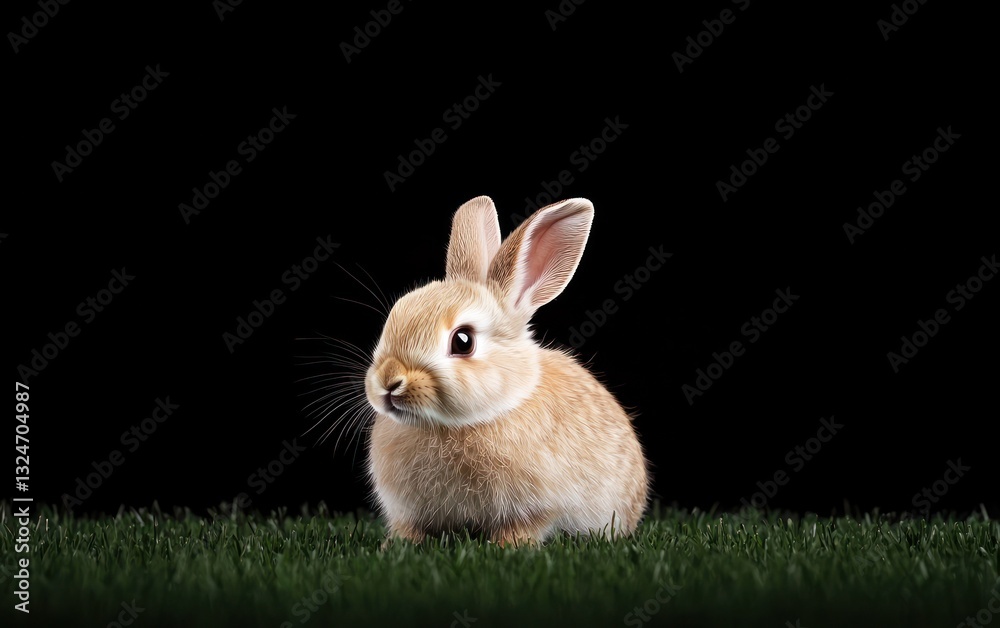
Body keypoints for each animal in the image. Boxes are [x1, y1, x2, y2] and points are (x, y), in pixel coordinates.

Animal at [364, 195, 649, 545]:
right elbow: (410, 529)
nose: (389, 381)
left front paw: (508, 546)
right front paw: (397, 544)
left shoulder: (537, 507)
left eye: (463, 341)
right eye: (396, 313)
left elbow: (525, 527)